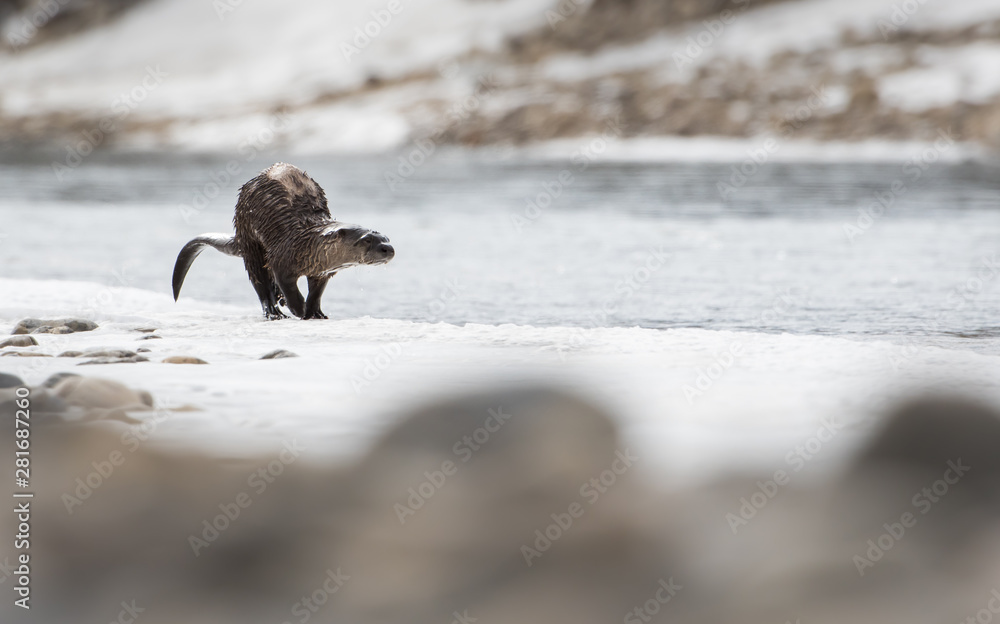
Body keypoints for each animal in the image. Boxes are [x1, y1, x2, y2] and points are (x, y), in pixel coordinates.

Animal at [172, 163, 394, 320]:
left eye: (386, 238)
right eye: (366, 240)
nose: (388, 249)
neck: (306, 242)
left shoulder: (322, 271)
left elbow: (317, 292)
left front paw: (316, 313)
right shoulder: (283, 256)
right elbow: (288, 285)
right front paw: (299, 309)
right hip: (251, 242)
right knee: (259, 280)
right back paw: (273, 312)